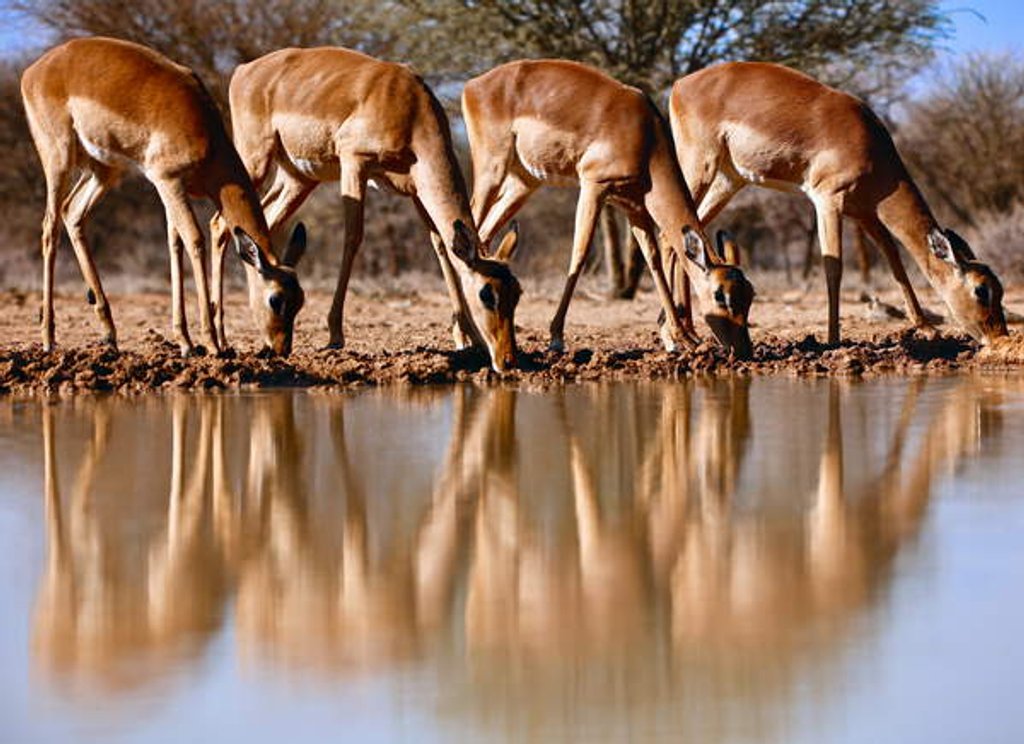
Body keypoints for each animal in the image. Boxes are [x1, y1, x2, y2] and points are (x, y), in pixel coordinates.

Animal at [21, 37, 306, 357]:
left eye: (300, 299)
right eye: (275, 299)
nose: (282, 349)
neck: (205, 132)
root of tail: (35, 69)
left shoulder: (170, 188)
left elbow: (174, 245)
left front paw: (186, 342)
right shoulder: (168, 181)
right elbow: (194, 240)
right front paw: (212, 343)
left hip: (105, 170)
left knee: (72, 213)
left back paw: (109, 334)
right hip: (58, 159)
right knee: (50, 227)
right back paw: (48, 339)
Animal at [223, 47, 522, 371]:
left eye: (516, 292)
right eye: (486, 294)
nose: (507, 360)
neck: (410, 108)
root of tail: (243, 70)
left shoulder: (416, 189)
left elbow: (441, 246)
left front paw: (469, 339)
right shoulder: (355, 162)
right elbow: (353, 238)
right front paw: (335, 335)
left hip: (298, 180)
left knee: (259, 224)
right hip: (254, 162)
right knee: (218, 225)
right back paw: (221, 341)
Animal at [462, 59, 755, 358]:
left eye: (749, 294)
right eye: (720, 295)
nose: (744, 350)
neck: (646, 137)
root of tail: (473, 84)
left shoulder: (635, 207)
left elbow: (653, 261)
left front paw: (680, 338)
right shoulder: (593, 187)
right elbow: (579, 255)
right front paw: (556, 338)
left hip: (522, 183)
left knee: (483, 235)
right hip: (492, 170)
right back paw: (464, 339)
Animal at [671, 61, 1008, 346]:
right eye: (981, 290)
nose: (999, 336)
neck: (870, 145)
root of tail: (679, 84)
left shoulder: (864, 213)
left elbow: (894, 259)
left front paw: (925, 326)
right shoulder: (828, 199)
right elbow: (834, 268)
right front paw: (833, 339)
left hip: (729, 181)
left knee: (683, 236)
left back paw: (687, 331)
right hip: (699, 167)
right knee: (667, 234)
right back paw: (682, 334)